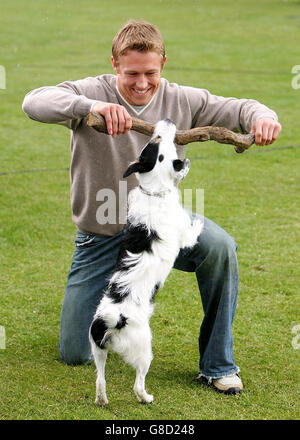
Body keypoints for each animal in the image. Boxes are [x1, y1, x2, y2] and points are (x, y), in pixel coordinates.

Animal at [88, 117, 202, 406]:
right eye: (158, 140)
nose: (167, 120)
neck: (153, 192)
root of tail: (112, 319)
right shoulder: (183, 234)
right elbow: (192, 229)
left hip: (97, 350)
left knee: (100, 380)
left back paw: (102, 400)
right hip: (144, 350)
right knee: (138, 384)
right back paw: (146, 398)